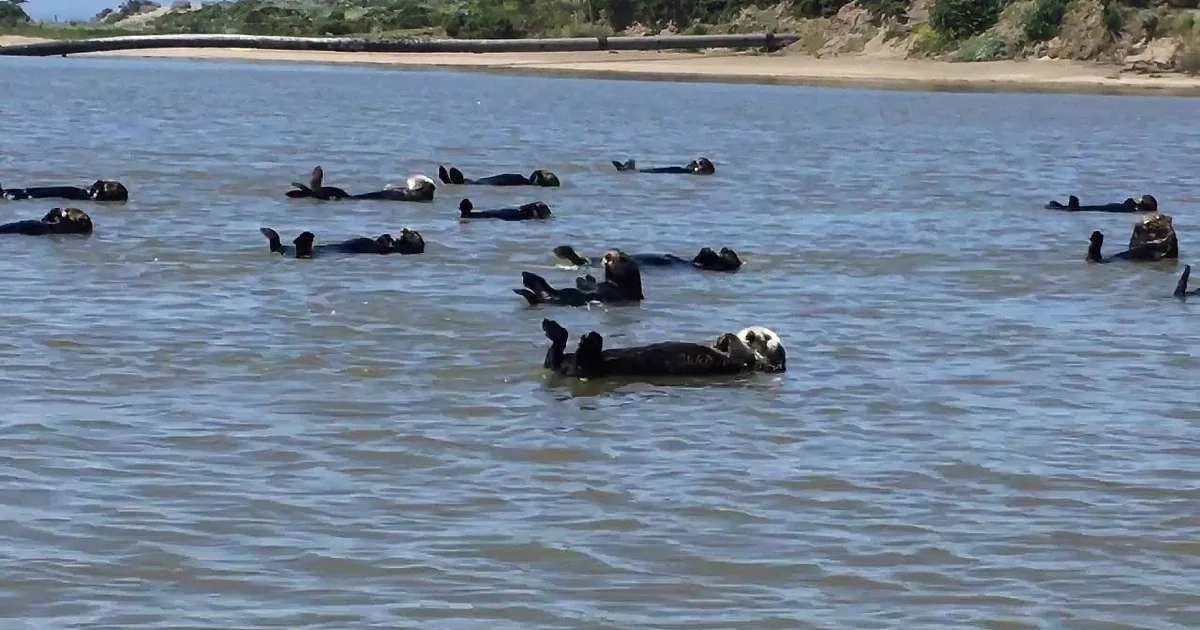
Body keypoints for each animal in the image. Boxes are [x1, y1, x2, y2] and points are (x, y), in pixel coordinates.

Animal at [514, 250, 643, 307]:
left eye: (622, 257)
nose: (608, 255)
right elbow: (589, 284)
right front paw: (585, 278)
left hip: (560, 297)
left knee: (545, 292)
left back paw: (528, 280)